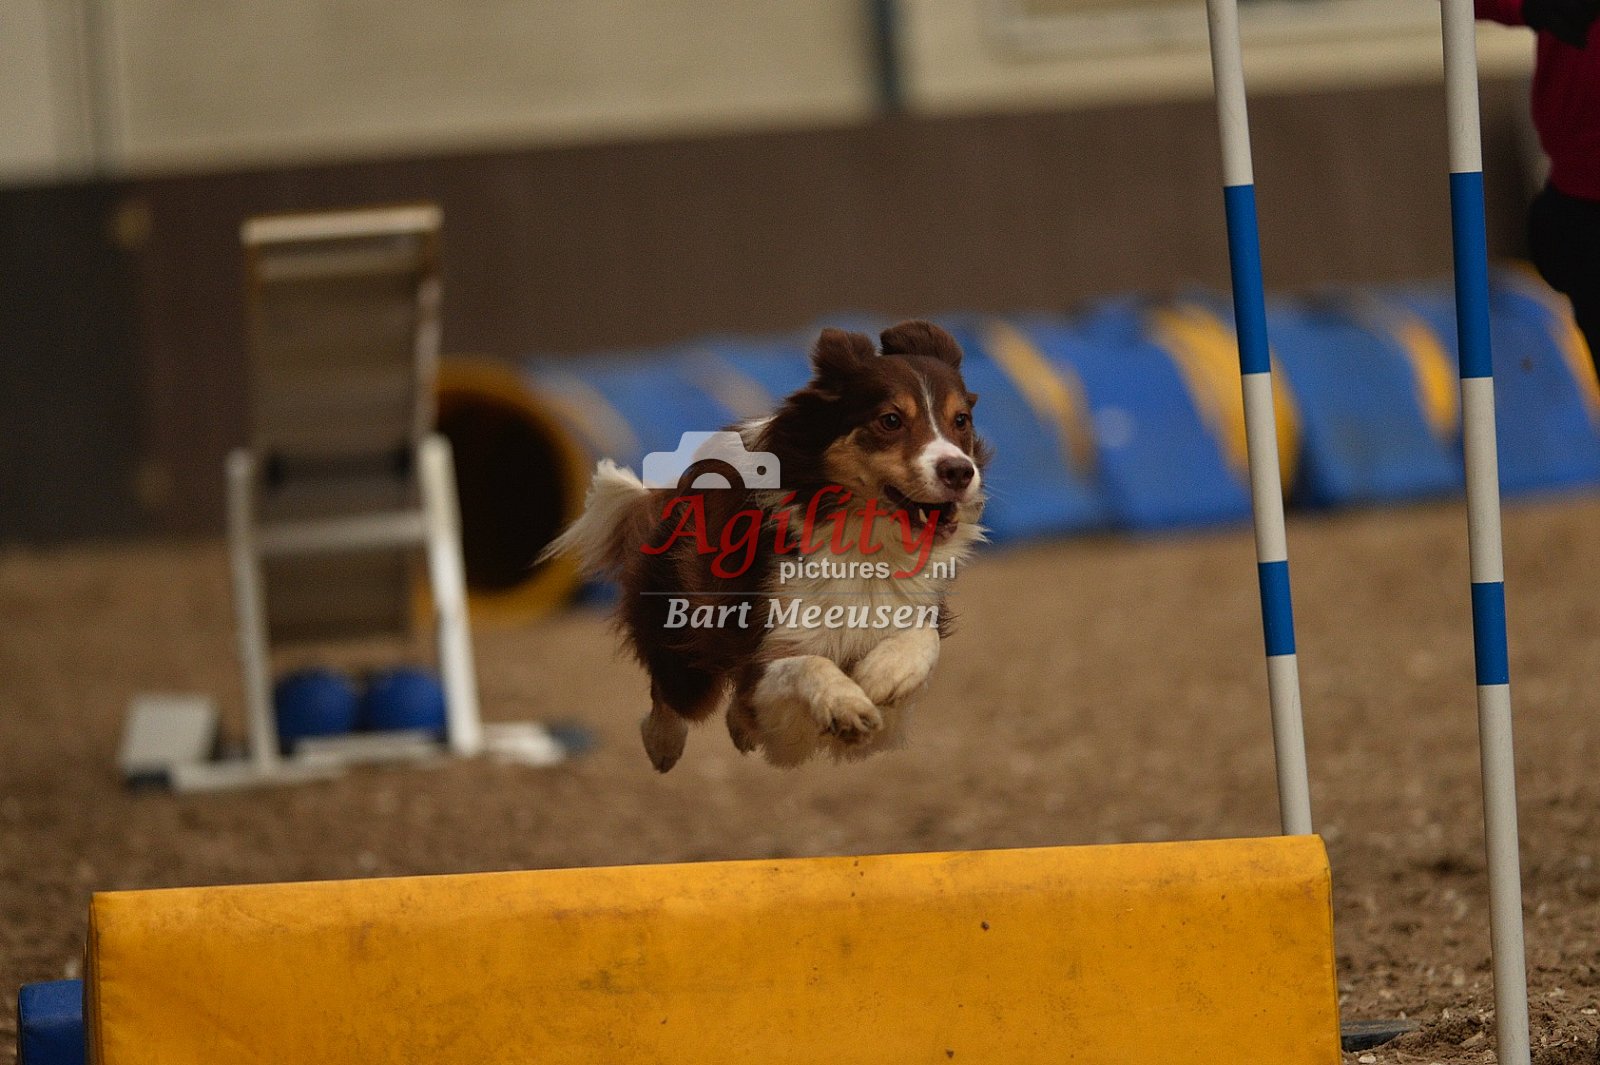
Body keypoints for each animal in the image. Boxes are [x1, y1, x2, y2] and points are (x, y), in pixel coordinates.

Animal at [542, 320, 989, 771]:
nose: (959, 472)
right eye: (891, 420)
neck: (865, 544)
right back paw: (663, 742)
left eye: (961, 420)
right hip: (684, 628)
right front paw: (844, 703)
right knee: (674, 694)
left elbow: (922, 637)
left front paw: (883, 673)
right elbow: (805, 663)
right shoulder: (762, 655)